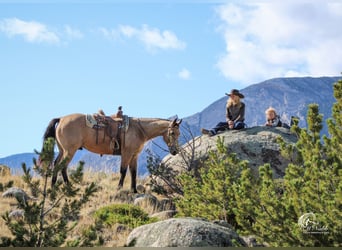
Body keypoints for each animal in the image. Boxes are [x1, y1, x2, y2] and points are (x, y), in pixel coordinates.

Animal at [42, 114, 182, 193]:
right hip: (69, 150)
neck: (138, 130)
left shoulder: (134, 156)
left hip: (63, 150)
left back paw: (57, 185)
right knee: (61, 166)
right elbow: (123, 171)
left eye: (179, 133)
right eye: (172, 133)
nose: (175, 151)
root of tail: (61, 119)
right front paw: (119, 188)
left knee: (57, 165)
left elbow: (133, 173)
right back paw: (63, 186)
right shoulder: (127, 154)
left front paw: (134, 190)